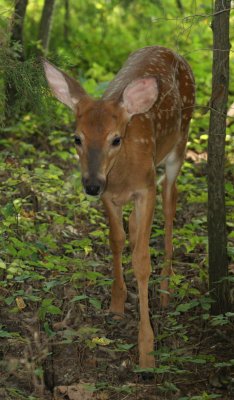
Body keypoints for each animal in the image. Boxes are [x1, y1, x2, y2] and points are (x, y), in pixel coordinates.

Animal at [43, 47, 196, 368]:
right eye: (77, 138)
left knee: (170, 204)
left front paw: (147, 350)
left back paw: (165, 292)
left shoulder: (146, 189)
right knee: (136, 229)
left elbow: (142, 261)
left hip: (179, 144)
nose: (90, 185)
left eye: (116, 138)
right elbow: (116, 240)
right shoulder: (109, 196)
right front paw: (116, 303)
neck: (122, 174)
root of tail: (167, 49)